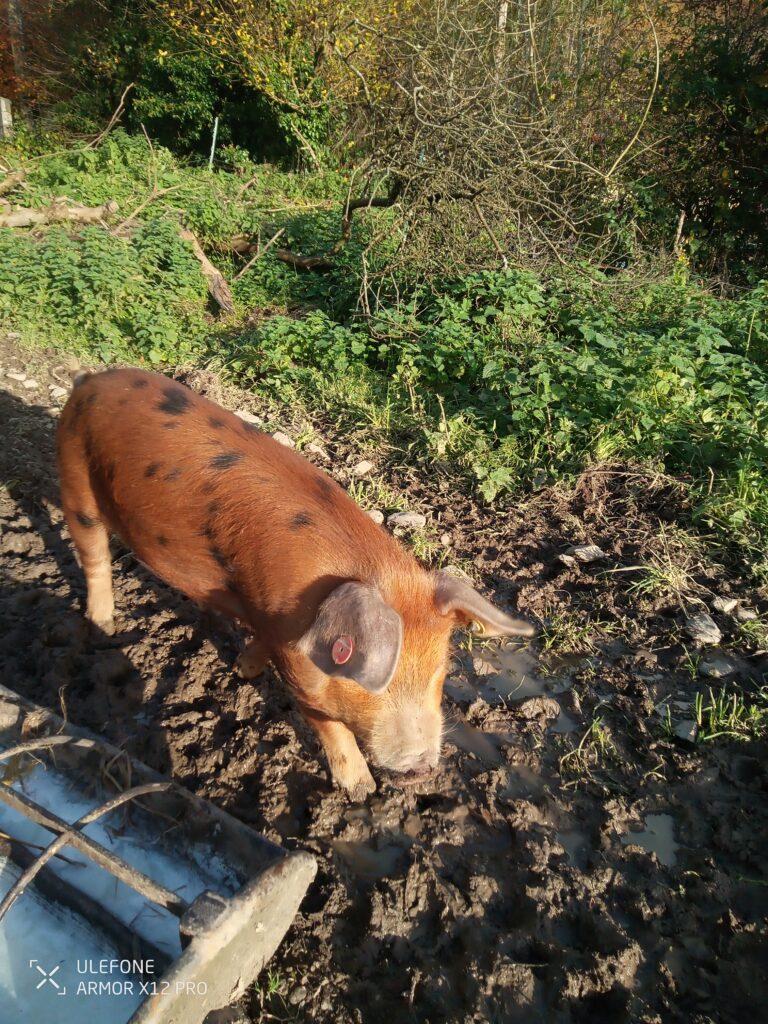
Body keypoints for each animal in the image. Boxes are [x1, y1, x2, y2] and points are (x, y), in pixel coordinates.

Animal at [56, 368, 535, 798]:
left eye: (439, 672)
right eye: (373, 680)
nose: (421, 770)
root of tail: (91, 381)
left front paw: (243, 670)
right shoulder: (301, 672)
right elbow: (328, 722)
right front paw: (361, 791)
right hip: (76, 481)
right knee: (94, 556)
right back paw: (102, 627)